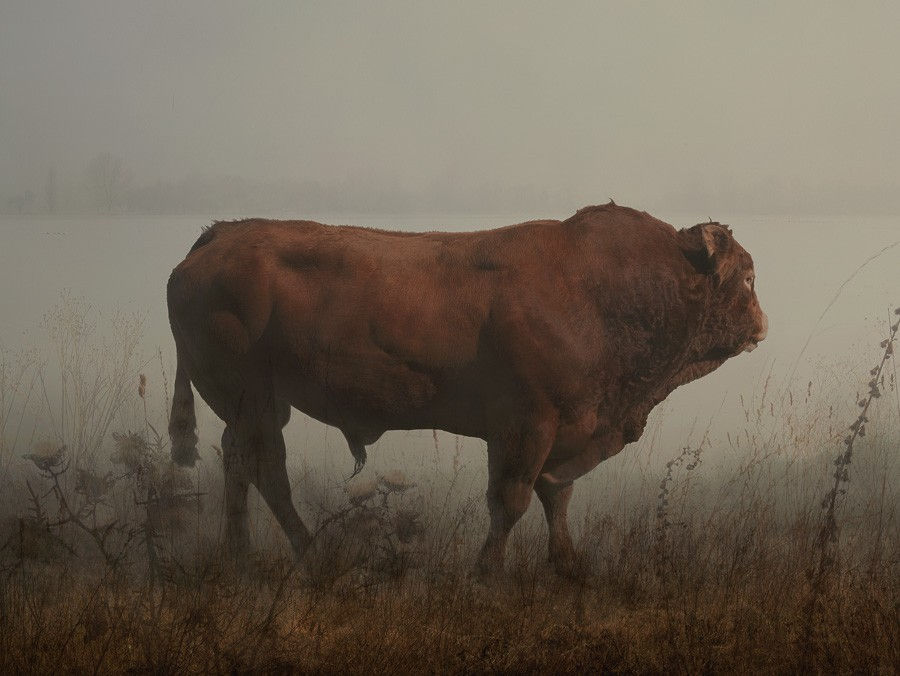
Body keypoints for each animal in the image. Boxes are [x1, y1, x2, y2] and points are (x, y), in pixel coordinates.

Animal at [166, 201, 767, 576]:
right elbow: (511, 500)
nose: (762, 324)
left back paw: (242, 558)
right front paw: (488, 570)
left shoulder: (560, 431)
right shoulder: (527, 427)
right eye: (748, 276)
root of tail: (221, 234)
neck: (604, 288)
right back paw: (309, 551)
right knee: (267, 469)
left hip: (253, 407)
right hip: (256, 403)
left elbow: (556, 496)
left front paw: (568, 563)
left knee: (238, 464)